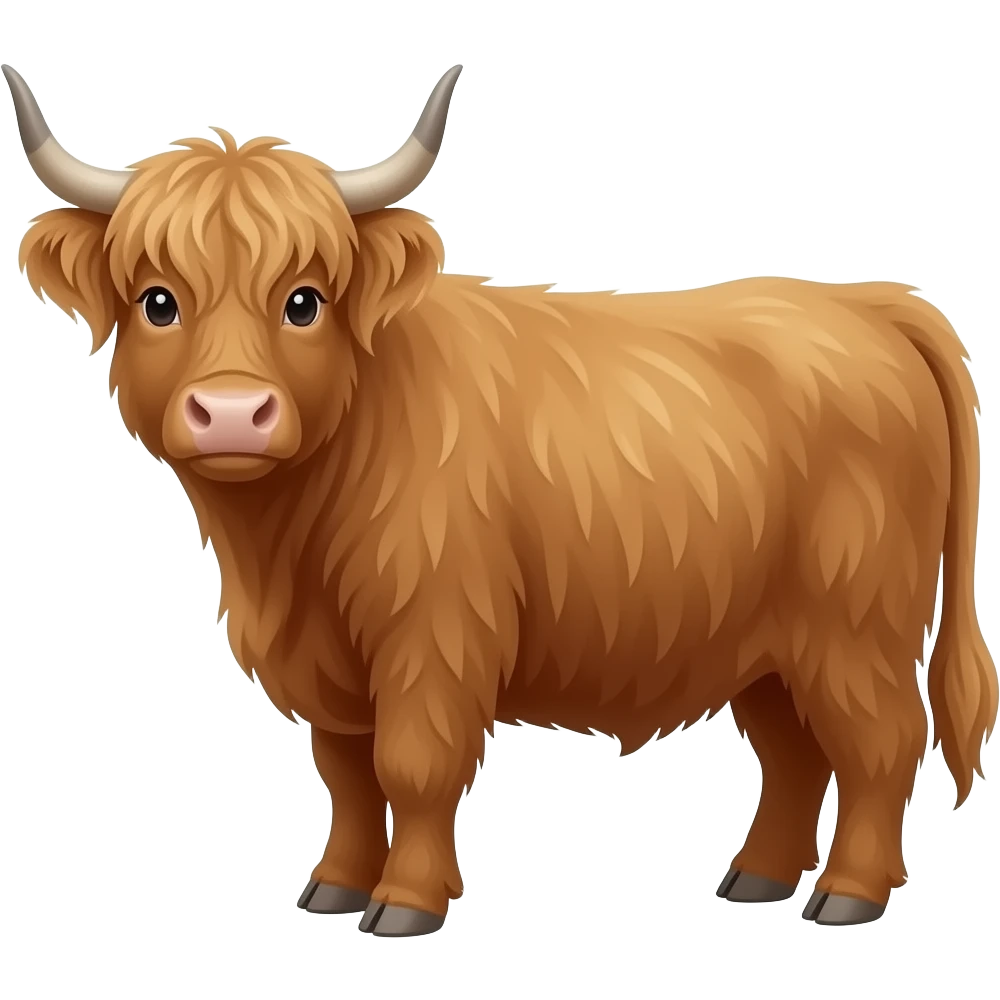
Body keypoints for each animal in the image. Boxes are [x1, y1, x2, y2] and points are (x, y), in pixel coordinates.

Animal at [6, 61, 996, 936]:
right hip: (763, 640)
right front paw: (333, 886)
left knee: (883, 741)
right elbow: (347, 772)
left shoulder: (435, 633)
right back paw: (755, 879)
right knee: (795, 753)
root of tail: (867, 305)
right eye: (157, 302)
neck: (285, 550)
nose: (233, 413)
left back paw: (849, 894)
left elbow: (413, 765)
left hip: (854, 620)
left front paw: (405, 903)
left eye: (305, 302)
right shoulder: (330, 662)